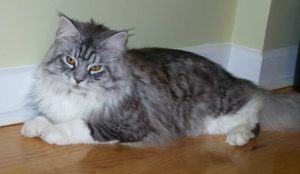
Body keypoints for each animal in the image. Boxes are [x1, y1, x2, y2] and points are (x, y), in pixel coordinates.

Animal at [21, 14, 300, 146]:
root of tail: (232, 78)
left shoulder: (129, 124)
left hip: (222, 112)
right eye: (70, 61)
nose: (78, 81)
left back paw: (239, 137)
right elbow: (46, 117)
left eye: (95, 67)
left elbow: (77, 125)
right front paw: (34, 125)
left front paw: (51, 132)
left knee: (254, 113)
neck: (75, 96)